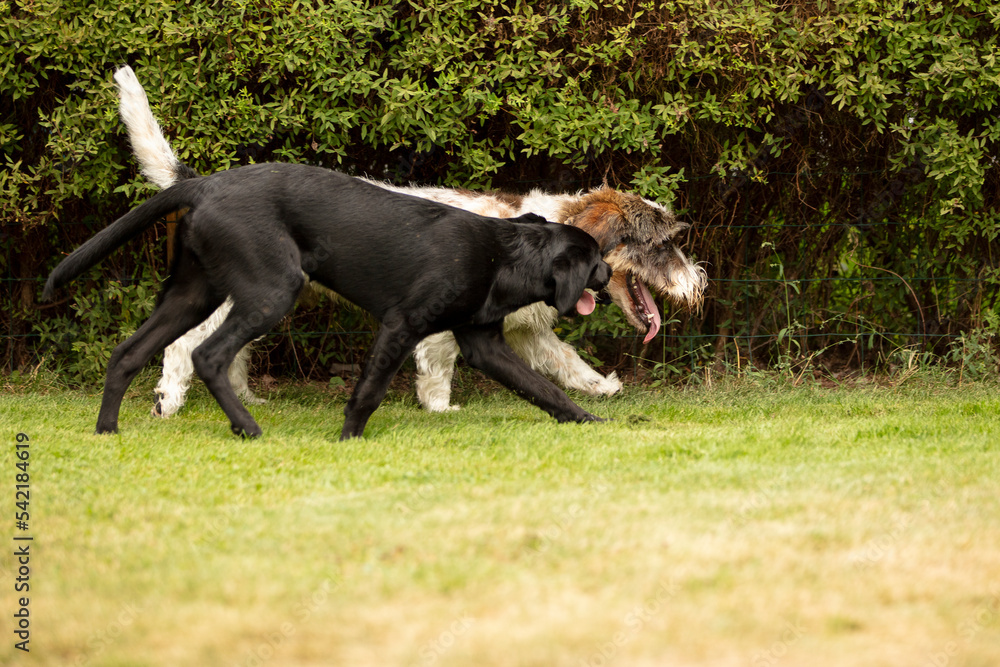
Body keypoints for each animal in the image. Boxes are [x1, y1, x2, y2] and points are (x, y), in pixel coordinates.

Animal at [43, 164, 612, 440]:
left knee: (127, 353)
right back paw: (247, 429)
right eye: (595, 260)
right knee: (207, 356)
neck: (502, 255)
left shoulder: (483, 344)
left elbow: (544, 389)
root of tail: (205, 184)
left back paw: (107, 431)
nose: (608, 275)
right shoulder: (401, 325)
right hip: (271, 290)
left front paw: (590, 421)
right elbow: (369, 391)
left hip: (192, 294)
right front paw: (348, 439)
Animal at [113, 65, 708, 414]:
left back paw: (245, 396)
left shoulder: (529, 332)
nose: (698, 283)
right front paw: (440, 409)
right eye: (660, 245)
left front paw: (601, 386)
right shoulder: (442, 322)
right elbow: (439, 368)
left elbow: (564, 361)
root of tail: (207, 182)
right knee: (182, 346)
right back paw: (169, 401)